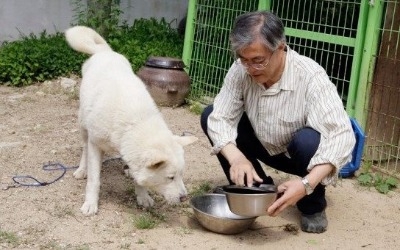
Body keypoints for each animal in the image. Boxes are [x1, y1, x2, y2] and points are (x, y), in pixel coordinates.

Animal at [65, 26, 198, 216]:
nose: (184, 198)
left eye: (181, 174)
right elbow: (94, 180)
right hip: (83, 126)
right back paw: (82, 170)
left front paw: (142, 196)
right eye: (170, 177)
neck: (134, 122)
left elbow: (138, 175)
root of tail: (105, 52)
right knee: (84, 149)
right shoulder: (95, 144)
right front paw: (90, 203)